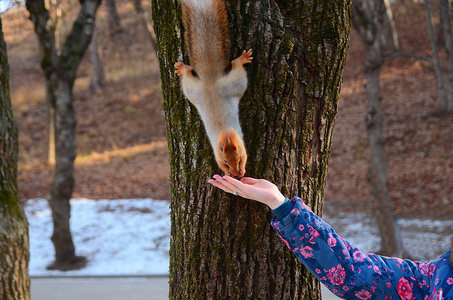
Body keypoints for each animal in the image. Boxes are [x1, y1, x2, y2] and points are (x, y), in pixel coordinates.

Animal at [174, 0, 251, 178]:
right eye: (225, 161)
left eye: (239, 158)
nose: (236, 174)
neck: (225, 131)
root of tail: (210, 81)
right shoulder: (217, 153)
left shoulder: (243, 146)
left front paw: (242, 169)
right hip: (194, 90)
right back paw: (182, 68)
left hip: (231, 84)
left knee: (235, 65)